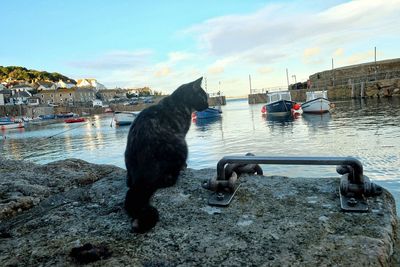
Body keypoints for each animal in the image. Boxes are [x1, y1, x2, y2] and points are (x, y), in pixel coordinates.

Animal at [123, 76, 208, 233]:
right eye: (203, 97)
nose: (207, 104)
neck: (179, 103)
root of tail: (141, 178)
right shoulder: (183, 133)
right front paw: (185, 166)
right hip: (181, 144)